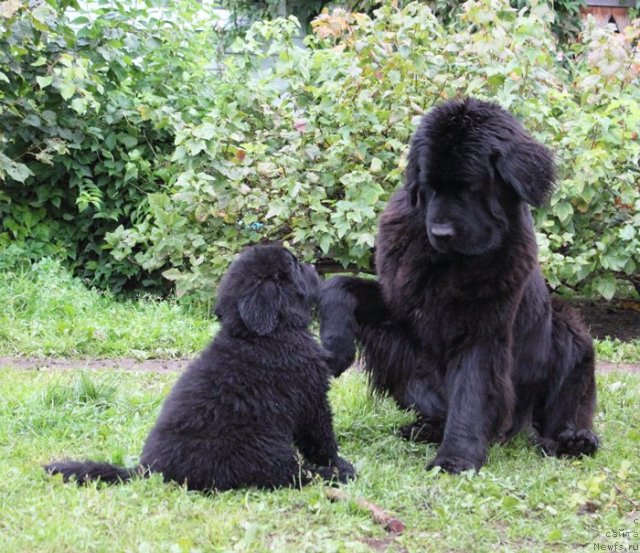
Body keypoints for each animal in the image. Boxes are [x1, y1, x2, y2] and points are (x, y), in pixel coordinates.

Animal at [45, 244, 356, 490]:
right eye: (293, 265)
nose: (313, 265)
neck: (262, 335)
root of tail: (148, 472)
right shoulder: (311, 399)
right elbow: (321, 439)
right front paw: (338, 463)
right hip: (260, 447)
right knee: (289, 476)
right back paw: (332, 475)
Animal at [320, 97, 600, 472]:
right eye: (430, 187)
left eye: (470, 188)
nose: (440, 233)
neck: (450, 265)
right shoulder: (401, 303)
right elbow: (339, 285)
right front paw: (335, 349)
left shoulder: (483, 328)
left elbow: (471, 390)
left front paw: (455, 458)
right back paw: (424, 428)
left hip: (566, 331)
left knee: (566, 402)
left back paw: (573, 439)